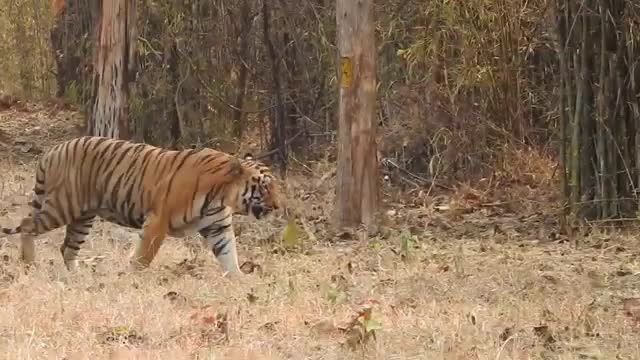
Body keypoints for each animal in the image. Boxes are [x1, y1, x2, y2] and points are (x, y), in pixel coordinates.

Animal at [1, 136, 282, 274]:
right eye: (265, 187)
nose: (279, 206)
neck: (223, 194)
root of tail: (52, 151)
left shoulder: (218, 227)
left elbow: (229, 255)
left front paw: (238, 280)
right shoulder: (158, 221)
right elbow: (143, 256)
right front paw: (132, 279)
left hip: (83, 217)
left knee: (67, 247)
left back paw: (76, 277)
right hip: (62, 206)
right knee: (27, 224)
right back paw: (29, 263)